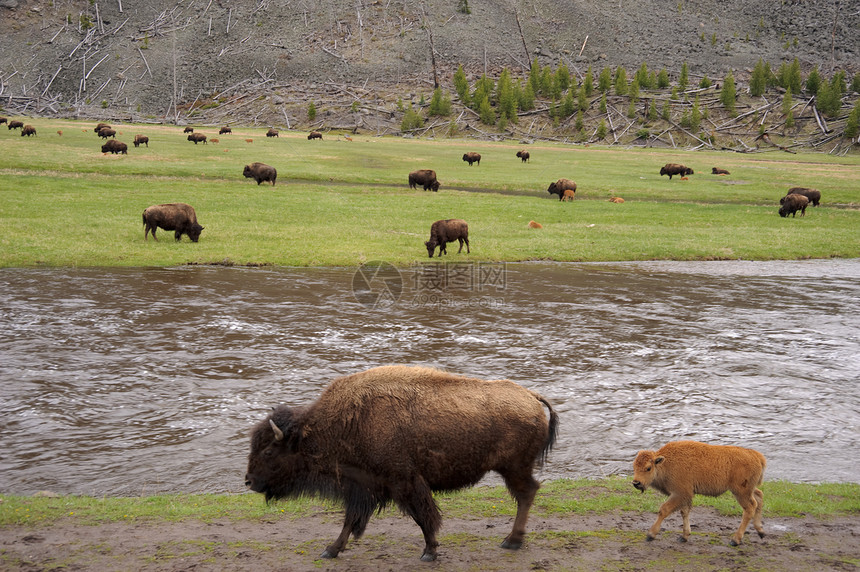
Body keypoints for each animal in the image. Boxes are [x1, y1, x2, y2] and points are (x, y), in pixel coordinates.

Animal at [245, 364, 560, 560]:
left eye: (269, 452)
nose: (249, 481)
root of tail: (532, 397)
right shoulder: (363, 485)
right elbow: (351, 520)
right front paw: (331, 549)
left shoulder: (404, 482)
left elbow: (424, 517)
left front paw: (429, 552)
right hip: (514, 468)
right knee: (528, 492)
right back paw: (512, 540)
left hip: (514, 468)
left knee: (526, 493)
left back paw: (512, 541)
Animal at [632, 440, 764, 548]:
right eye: (634, 467)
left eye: (648, 468)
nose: (636, 482)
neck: (666, 463)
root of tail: (757, 456)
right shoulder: (684, 496)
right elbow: (684, 512)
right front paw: (684, 536)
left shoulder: (680, 493)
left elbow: (664, 510)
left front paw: (650, 535)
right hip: (749, 490)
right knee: (759, 497)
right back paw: (761, 532)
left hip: (741, 492)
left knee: (750, 508)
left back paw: (735, 540)